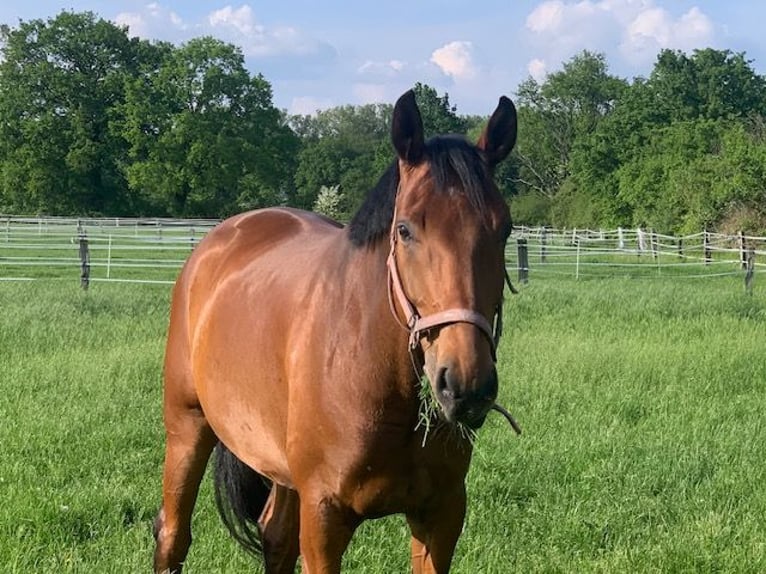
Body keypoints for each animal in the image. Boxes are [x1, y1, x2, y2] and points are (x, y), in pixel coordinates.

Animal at [153, 90, 520, 574]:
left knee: (275, 537)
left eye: (505, 230)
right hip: (187, 427)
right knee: (173, 535)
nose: (465, 384)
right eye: (404, 230)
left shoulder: (441, 514)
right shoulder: (324, 517)